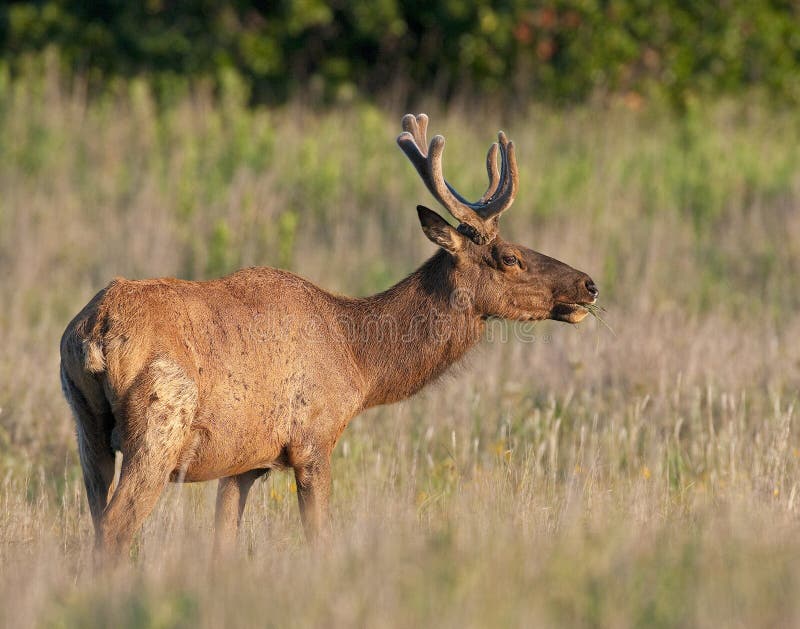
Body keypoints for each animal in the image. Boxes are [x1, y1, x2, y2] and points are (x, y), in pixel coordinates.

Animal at [59, 111, 596, 556]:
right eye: (510, 257)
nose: (588, 285)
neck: (357, 358)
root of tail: (94, 331)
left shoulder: (245, 460)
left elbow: (223, 544)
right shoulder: (313, 438)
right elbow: (319, 538)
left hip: (86, 426)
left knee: (96, 520)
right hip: (159, 424)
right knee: (115, 529)